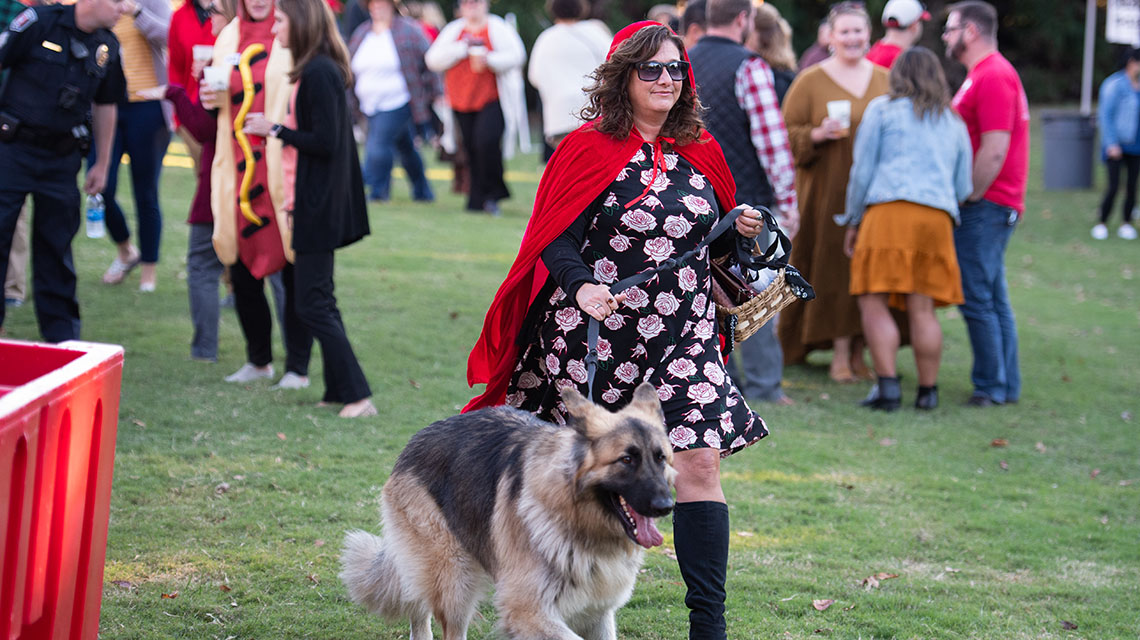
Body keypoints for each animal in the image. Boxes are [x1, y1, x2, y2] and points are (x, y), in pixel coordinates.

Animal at [337, 381, 674, 634]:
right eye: (626, 460)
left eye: (661, 458)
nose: (666, 505)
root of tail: (416, 439)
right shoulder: (527, 610)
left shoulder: (596, 614)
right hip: (453, 580)